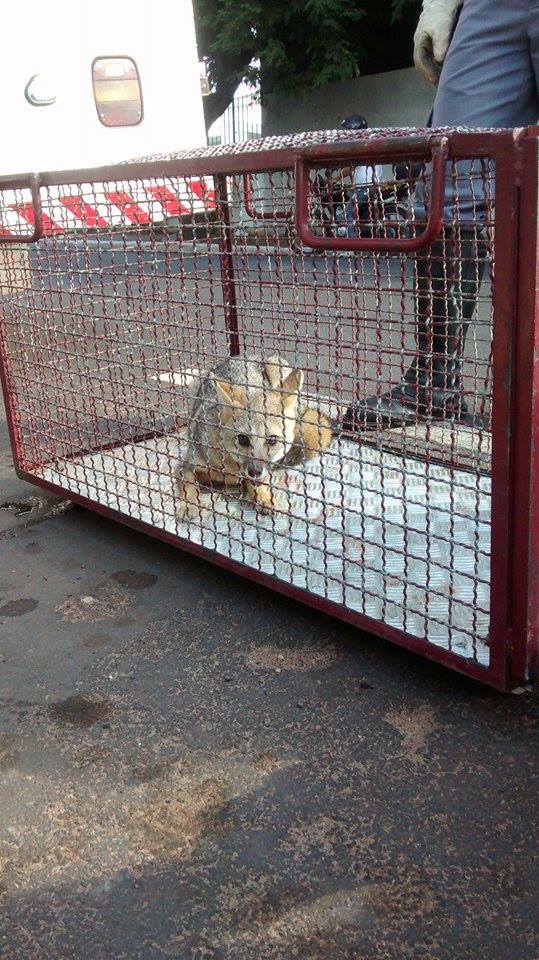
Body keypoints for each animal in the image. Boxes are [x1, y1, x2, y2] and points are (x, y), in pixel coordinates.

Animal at [175, 354, 334, 516]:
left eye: (272, 441)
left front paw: (264, 497)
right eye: (243, 440)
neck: (232, 469)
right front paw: (188, 504)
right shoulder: (185, 466)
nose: (255, 471)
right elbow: (189, 485)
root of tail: (243, 356)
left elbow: (256, 483)